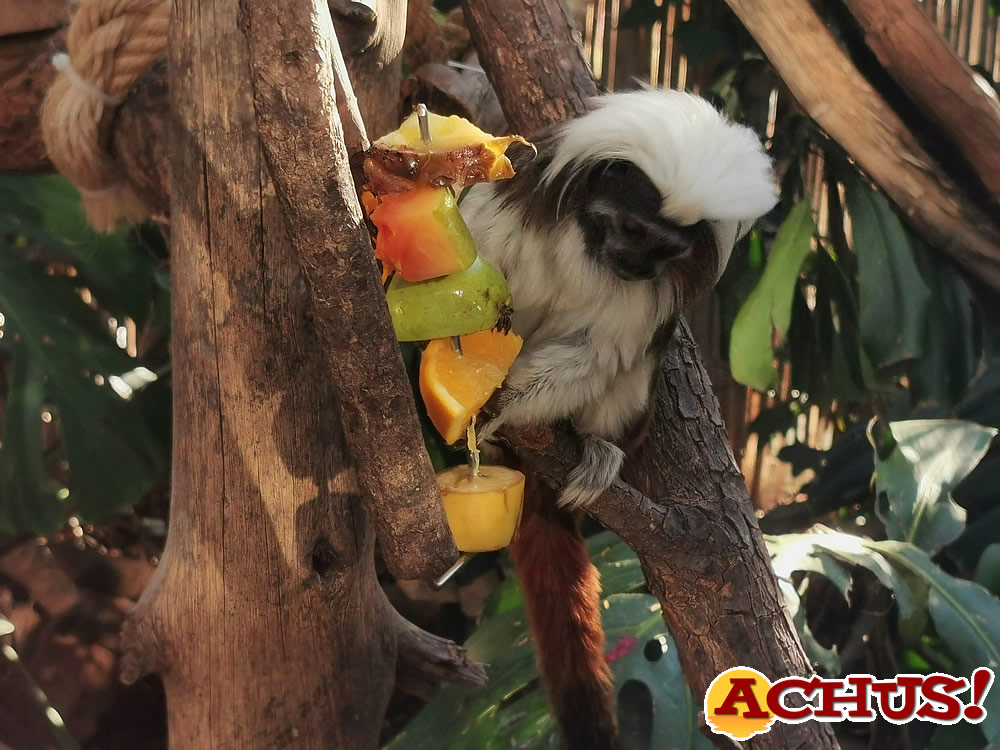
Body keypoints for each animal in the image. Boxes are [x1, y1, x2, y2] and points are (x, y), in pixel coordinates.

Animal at [458, 89, 776, 750]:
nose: (637, 266)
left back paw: (592, 447)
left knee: (635, 367)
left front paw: (508, 401)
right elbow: (473, 291)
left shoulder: (648, 299)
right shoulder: (510, 211)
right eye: (633, 229)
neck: (590, 249)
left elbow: (599, 354)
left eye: (669, 248)